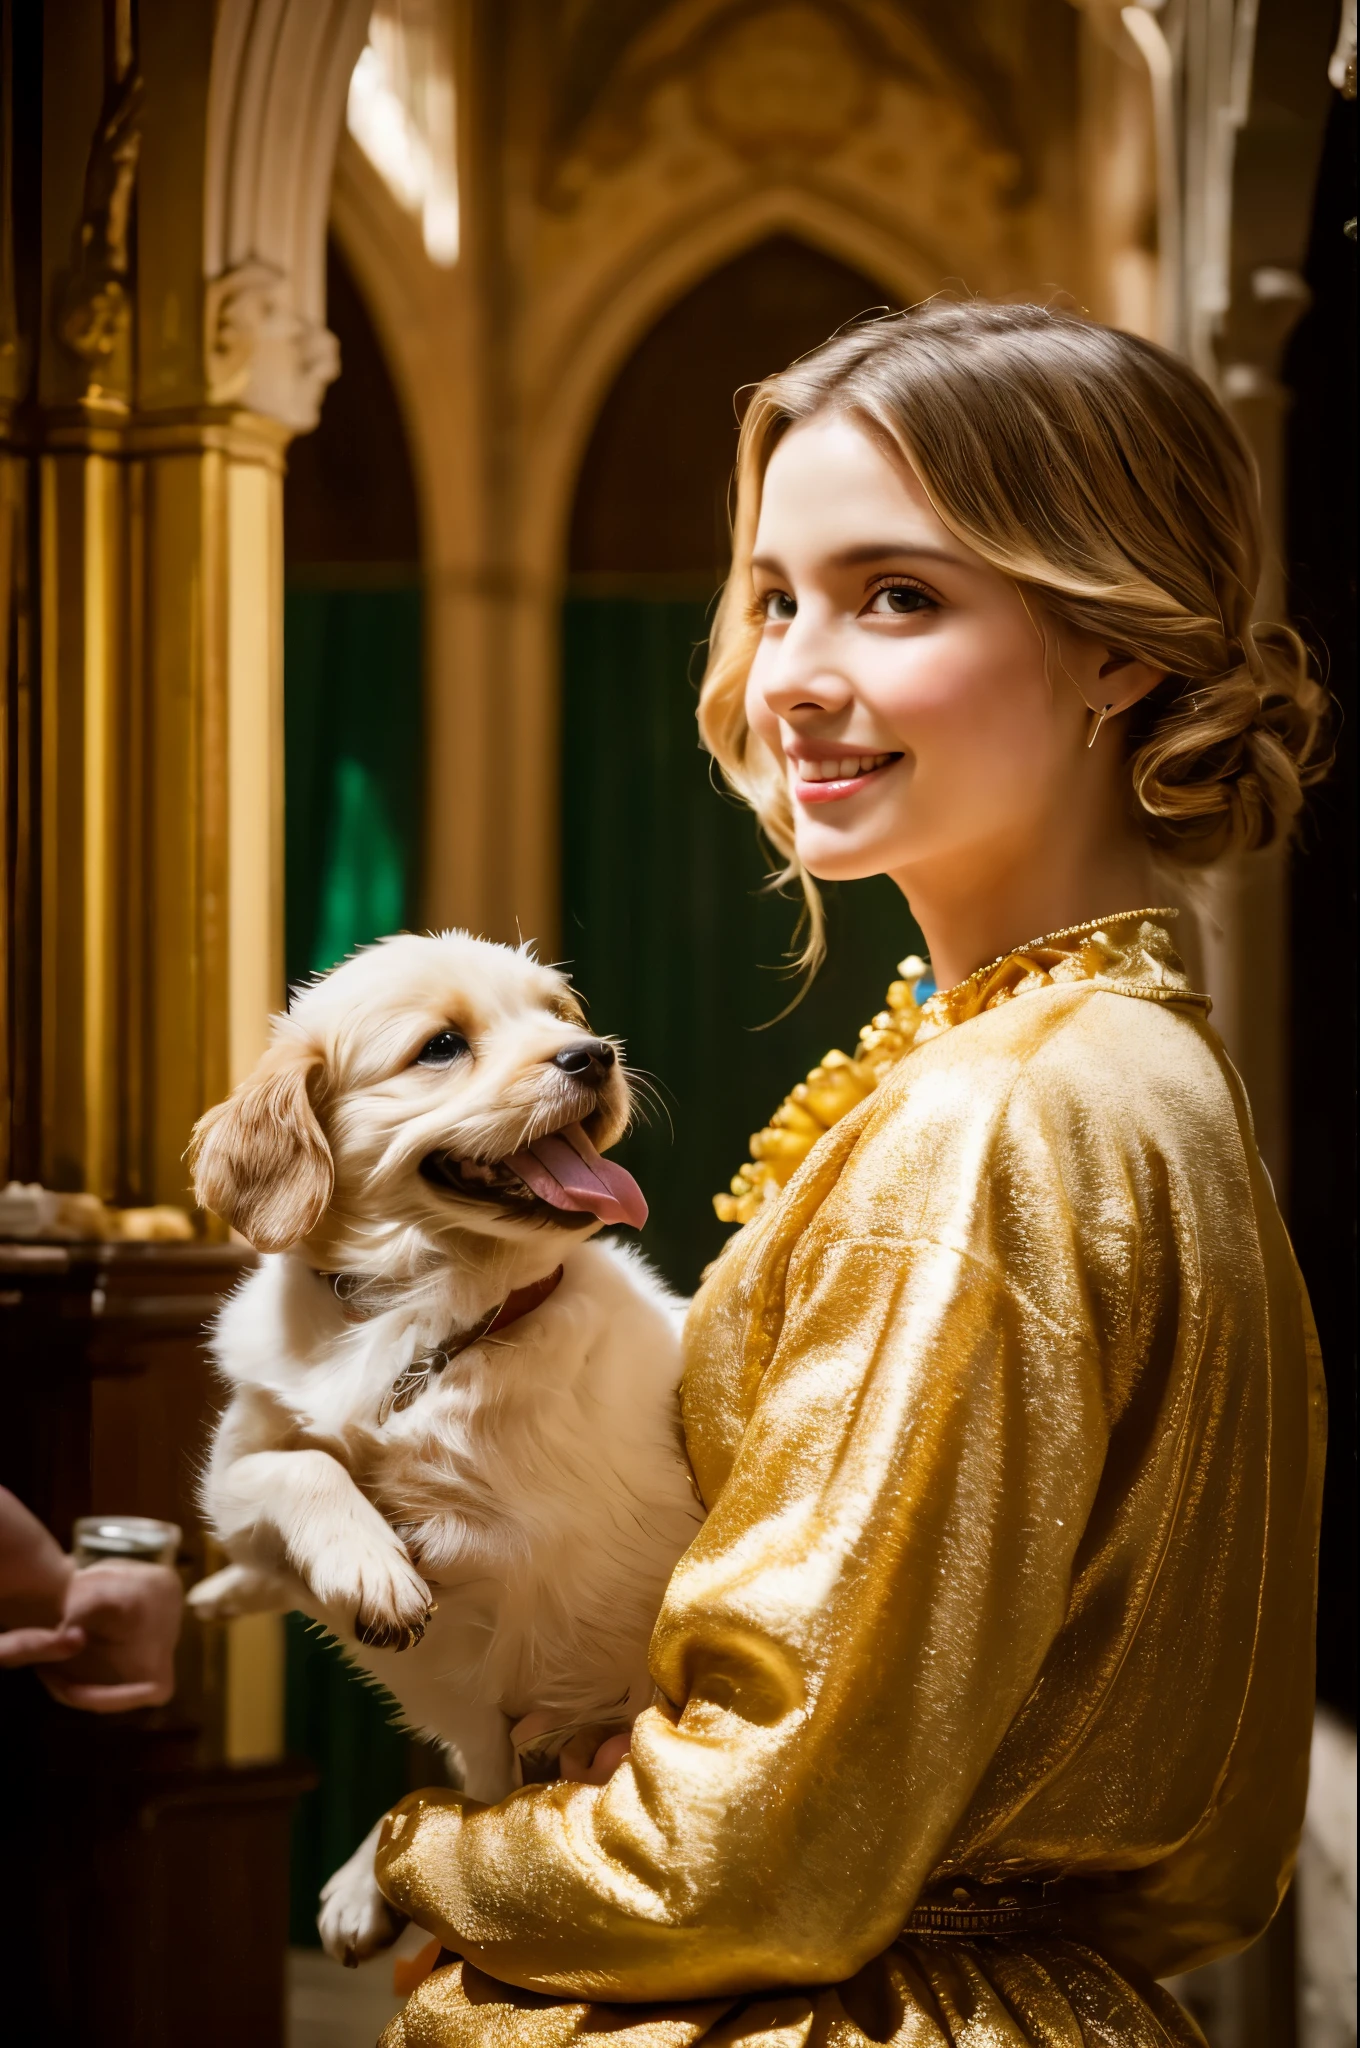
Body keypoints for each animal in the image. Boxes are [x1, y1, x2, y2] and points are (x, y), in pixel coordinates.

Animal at [183, 937, 700, 1957]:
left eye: (560, 1014)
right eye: (442, 1046)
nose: (594, 1055)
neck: (423, 1324)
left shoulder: (508, 1565)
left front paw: (371, 1568)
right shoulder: (232, 1467)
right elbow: (300, 1463)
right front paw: (358, 1562)